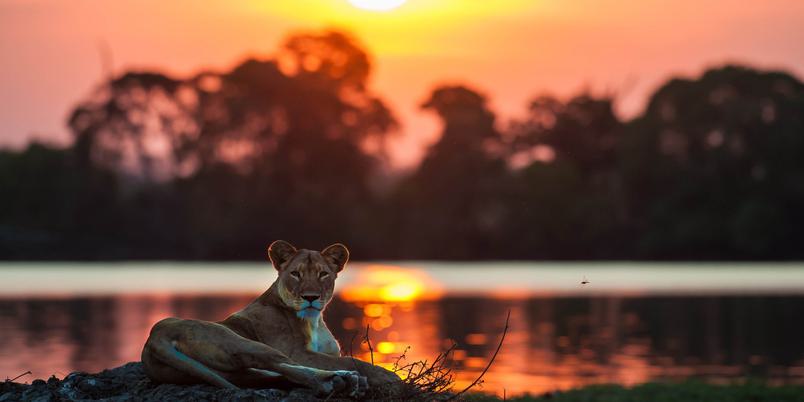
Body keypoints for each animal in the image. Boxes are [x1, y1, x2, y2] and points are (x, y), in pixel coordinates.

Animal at [141, 240, 400, 397]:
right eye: (295, 274)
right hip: (239, 342)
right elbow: (351, 361)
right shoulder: (298, 352)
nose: (310, 297)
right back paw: (340, 380)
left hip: (230, 372)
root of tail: (154, 337)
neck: (314, 320)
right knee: (284, 365)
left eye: (323, 274)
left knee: (278, 374)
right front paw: (388, 376)